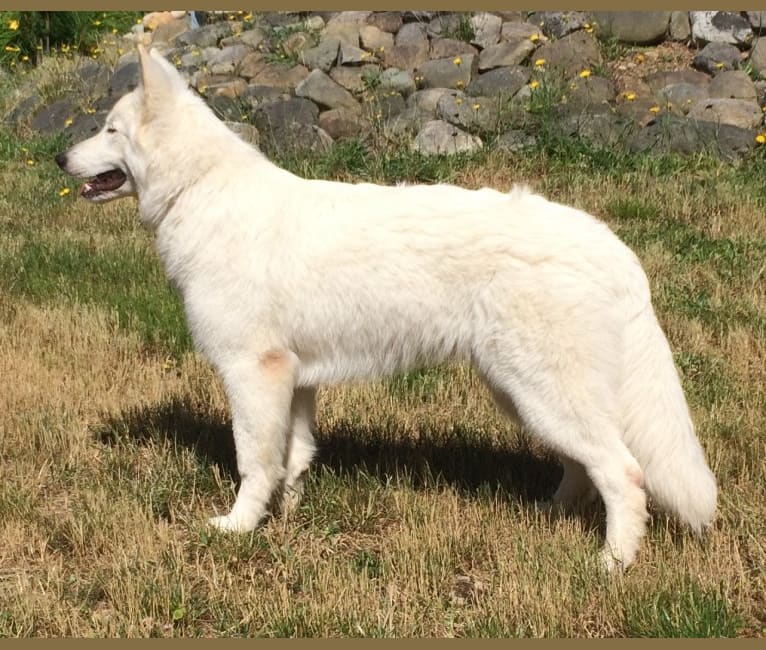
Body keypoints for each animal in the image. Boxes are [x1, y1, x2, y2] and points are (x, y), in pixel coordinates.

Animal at [55, 46, 720, 568]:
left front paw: (238, 529)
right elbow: (293, 460)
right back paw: (548, 515)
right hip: (525, 394)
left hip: (543, 392)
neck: (200, 189)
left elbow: (254, 462)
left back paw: (612, 564)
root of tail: (612, 247)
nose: (60, 159)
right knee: (585, 469)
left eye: (109, 130)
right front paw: (287, 518)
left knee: (624, 474)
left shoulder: (252, 374)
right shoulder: (295, 381)